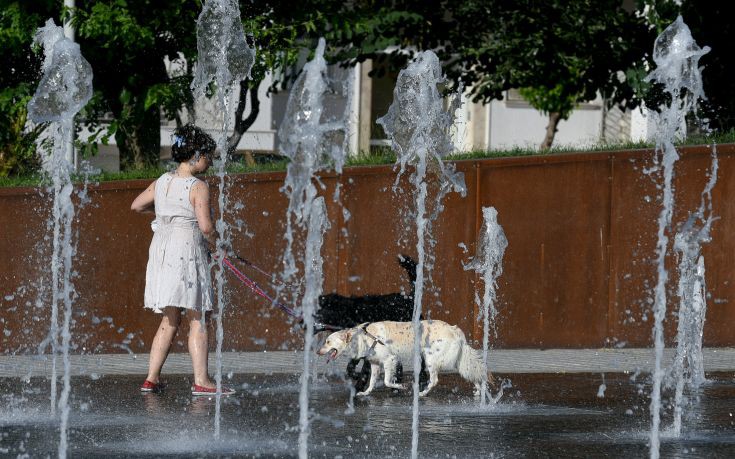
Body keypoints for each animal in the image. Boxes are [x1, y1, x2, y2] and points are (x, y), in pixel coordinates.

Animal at [314, 255, 428, 392]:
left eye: (317, 312)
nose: (301, 322)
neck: (350, 312)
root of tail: (411, 298)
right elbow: (351, 367)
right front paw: (356, 378)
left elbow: (363, 370)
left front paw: (359, 387)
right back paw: (396, 383)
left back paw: (421, 381)